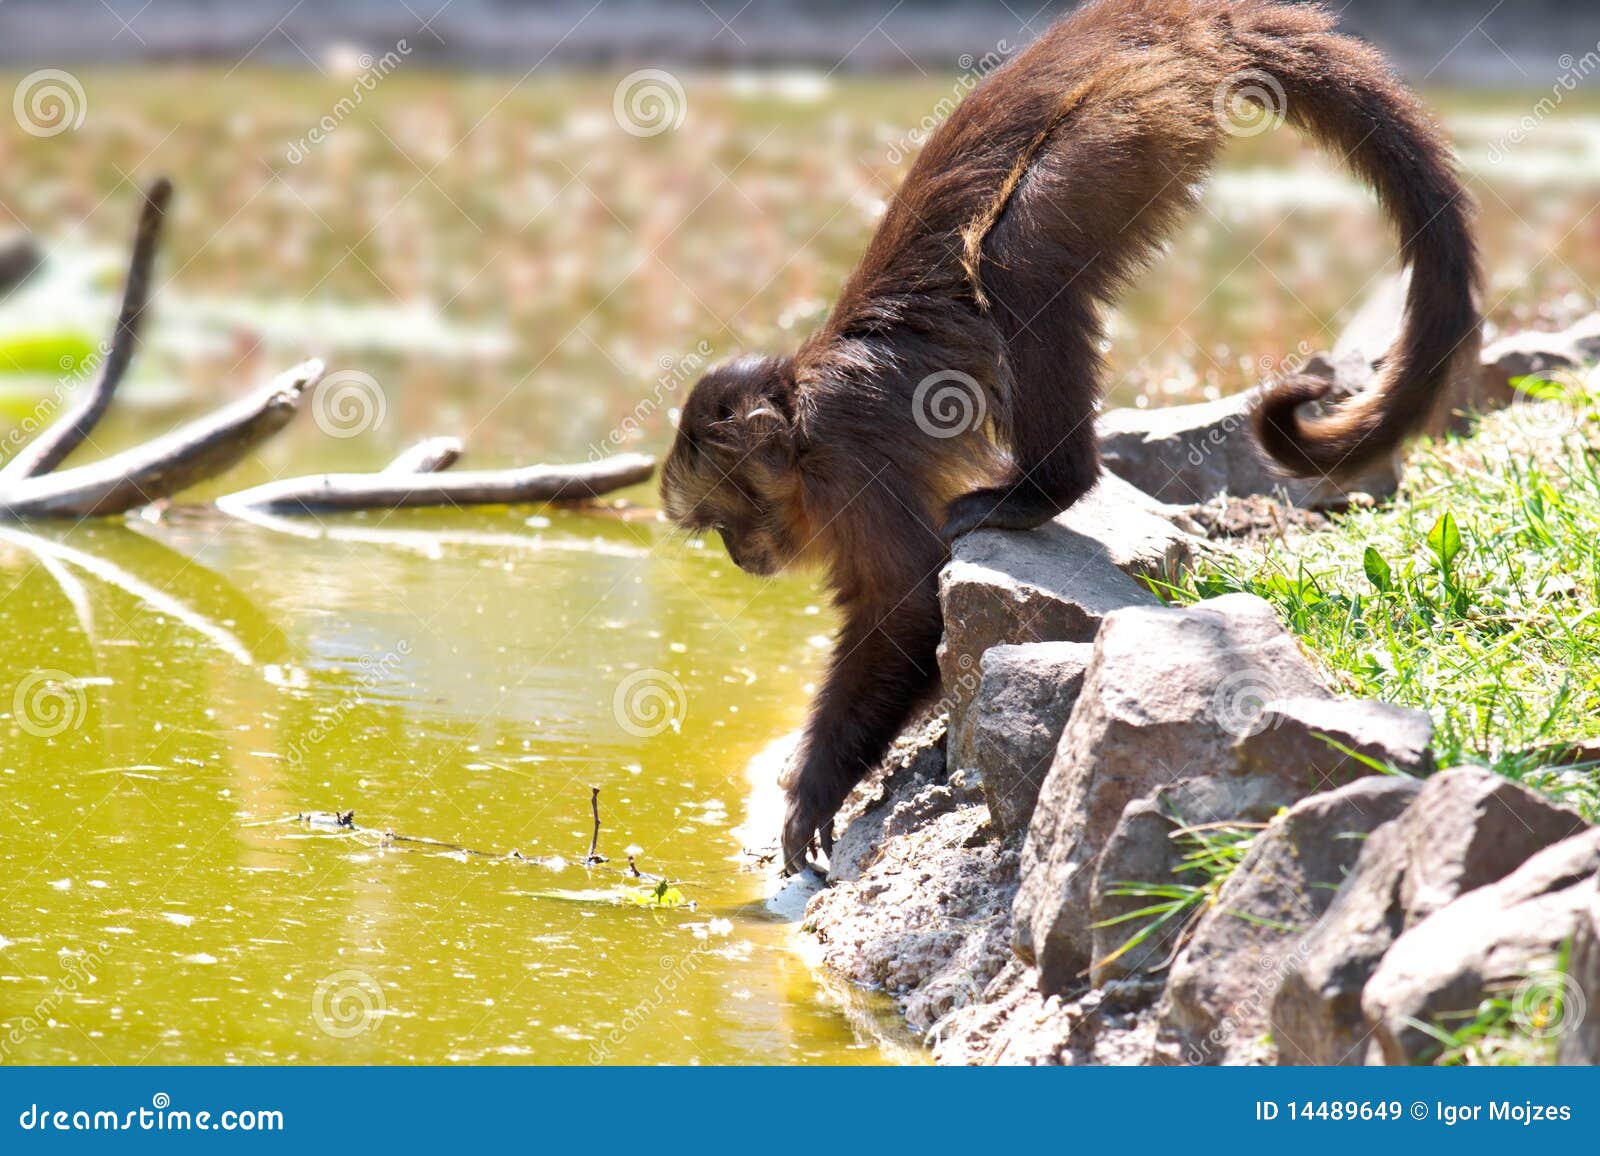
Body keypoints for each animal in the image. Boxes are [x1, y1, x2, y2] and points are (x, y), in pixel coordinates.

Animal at [656, 0, 1478, 864]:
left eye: (727, 518)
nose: (739, 556)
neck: (801, 419)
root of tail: (1154, 20)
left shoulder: (845, 469)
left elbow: (907, 607)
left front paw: (816, 788)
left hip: (1128, 118)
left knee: (1018, 259)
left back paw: (1046, 489)